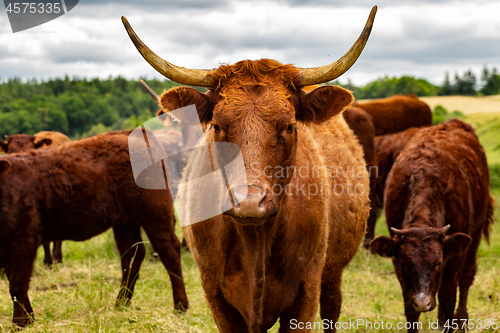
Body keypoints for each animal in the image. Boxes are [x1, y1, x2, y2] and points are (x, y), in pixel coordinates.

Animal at [0, 130, 188, 326]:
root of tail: (129, 132)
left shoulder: (24, 242)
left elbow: (17, 286)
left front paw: (18, 324)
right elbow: (16, 286)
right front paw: (29, 319)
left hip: (155, 212)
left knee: (169, 250)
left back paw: (180, 305)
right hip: (126, 222)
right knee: (132, 255)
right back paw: (121, 303)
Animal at [123, 3, 376, 330]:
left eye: (290, 126)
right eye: (217, 126)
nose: (249, 202)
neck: (255, 242)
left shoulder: (306, 294)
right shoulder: (216, 295)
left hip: (332, 276)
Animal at [370, 118, 494, 330]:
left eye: (438, 263)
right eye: (405, 263)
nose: (423, 302)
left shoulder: (455, 256)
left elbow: (448, 298)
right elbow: (410, 310)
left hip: (475, 234)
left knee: (466, 278)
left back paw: (461, 320)